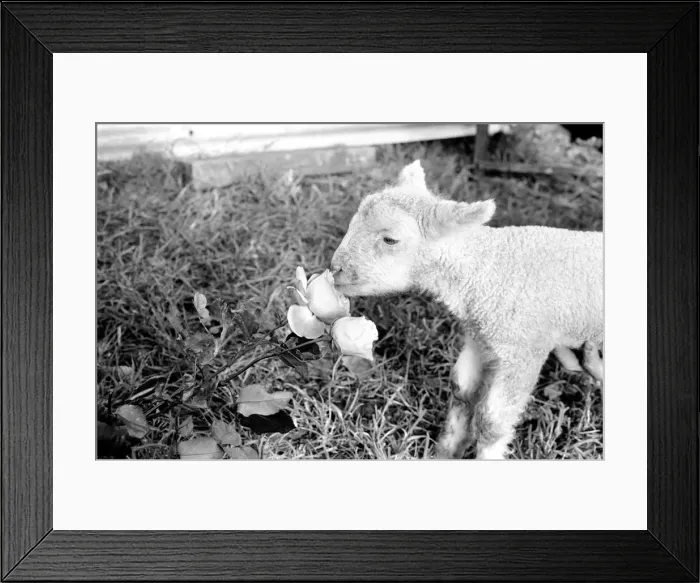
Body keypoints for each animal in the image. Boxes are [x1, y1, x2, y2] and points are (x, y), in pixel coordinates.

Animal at [330, 160, 603, 460]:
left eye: (390, 240)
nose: (334, 268)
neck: (490, 267)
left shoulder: (524, 352)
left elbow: (493, 421)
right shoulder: (478, 339)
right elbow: (461, 391)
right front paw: (446, 451)